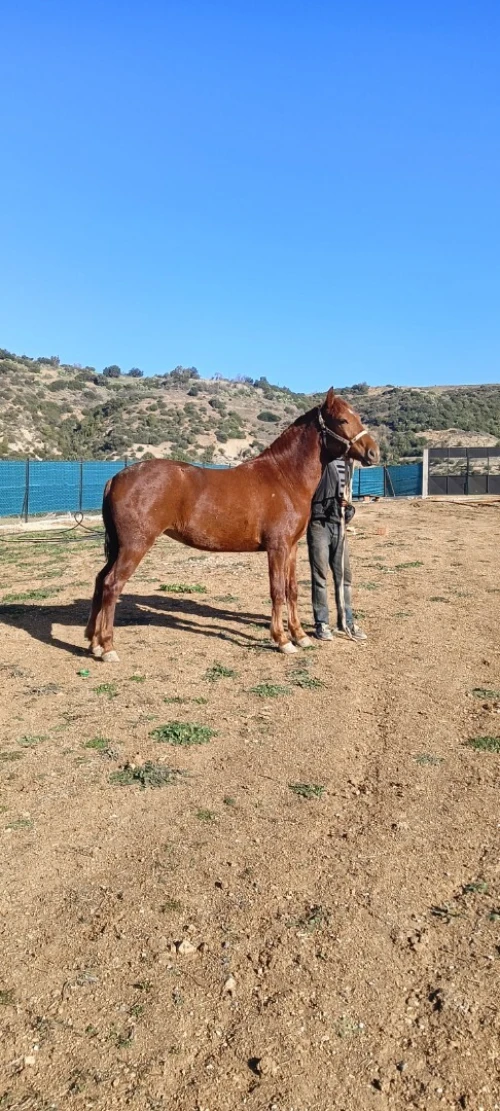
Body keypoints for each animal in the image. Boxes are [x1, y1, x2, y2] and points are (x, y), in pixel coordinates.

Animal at [85, 387, 379, 661]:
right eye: (342, 420)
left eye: (357, 417)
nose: (374, 452)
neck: (284, 477)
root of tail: (116, 478)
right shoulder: (277, 548)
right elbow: (277, 591)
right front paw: (283, 640)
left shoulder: (292, 548)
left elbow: (292, 590)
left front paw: (300, 636)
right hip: (134, 546)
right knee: (112, 584)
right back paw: (108, 647)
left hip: (120, 547)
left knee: (100, 580)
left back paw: (93, 641)